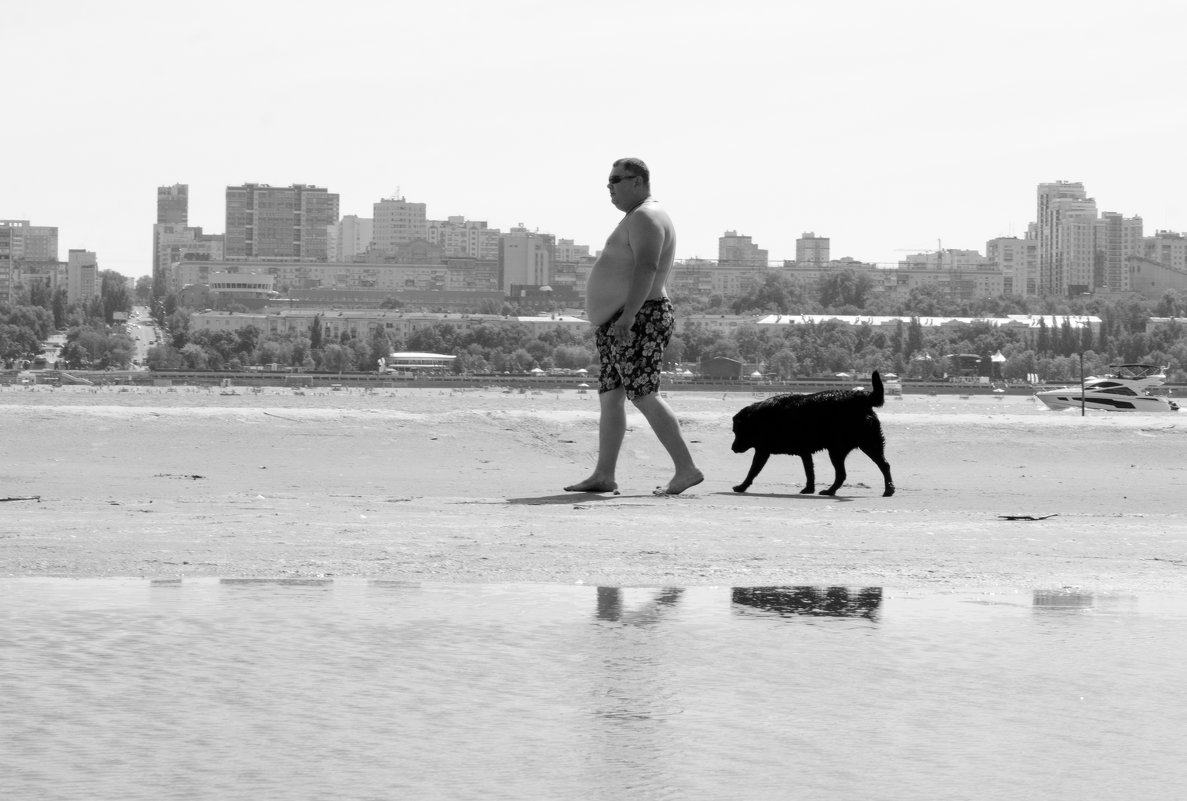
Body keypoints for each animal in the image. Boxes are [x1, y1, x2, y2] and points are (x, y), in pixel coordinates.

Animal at [726, 374, 892, 498]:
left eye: (737, 431)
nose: (732, 448)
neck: (758, 418)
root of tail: (862, 398)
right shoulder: (805, 453)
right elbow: (809, 472)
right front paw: (809, 489)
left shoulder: (762, 451)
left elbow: (752, 471)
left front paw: (741, 487)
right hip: (867, 445)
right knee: (882, 465)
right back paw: (888, 489)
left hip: (842, 450)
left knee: (844, 473)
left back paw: (831, 491)